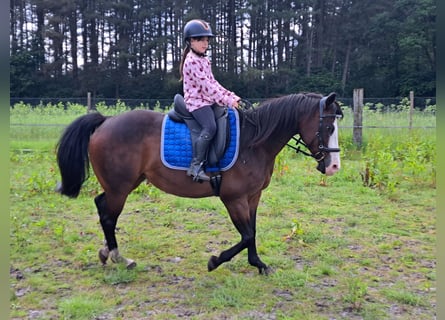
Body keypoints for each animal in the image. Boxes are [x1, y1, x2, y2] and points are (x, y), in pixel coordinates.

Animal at [56, 91, 344, 274]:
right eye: (328, 127)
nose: (333, 167)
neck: (254, 142)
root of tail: (106, 121)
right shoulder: (234, 199)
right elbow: (246, 235)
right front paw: (215, 261)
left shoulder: (252, 197)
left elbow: (252, 232)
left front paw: (258, 264)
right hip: (120, 188)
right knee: (108, 216)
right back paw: (119, 256)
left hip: (125, 185)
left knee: (102, 207)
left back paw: (107, 252)